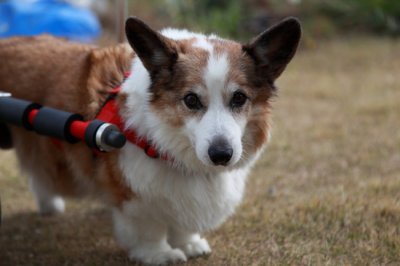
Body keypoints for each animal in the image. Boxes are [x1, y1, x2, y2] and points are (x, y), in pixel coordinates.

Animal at [0, 17, 300, 264]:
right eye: (191, 100)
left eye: (239, 98)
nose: (221, 154)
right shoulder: (132, 195)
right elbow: (148, 228)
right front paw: (159, 254)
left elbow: (183, 222)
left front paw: (188, 243)